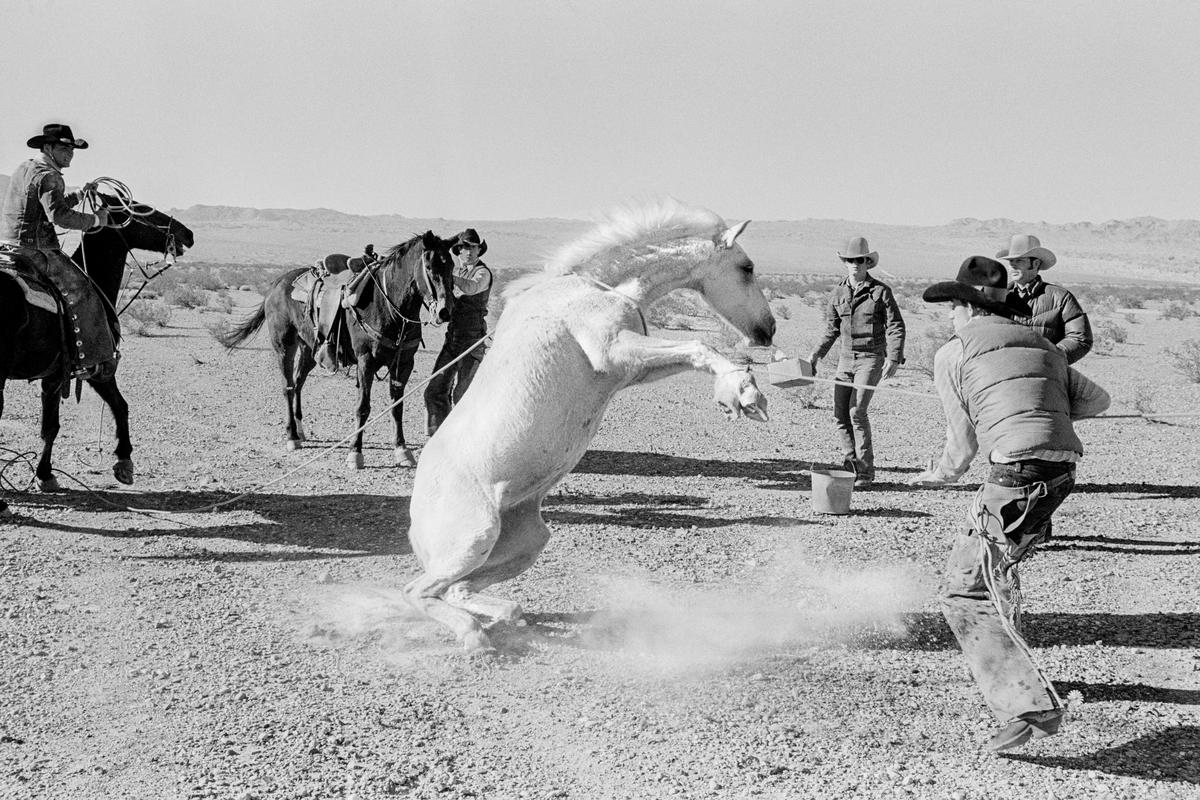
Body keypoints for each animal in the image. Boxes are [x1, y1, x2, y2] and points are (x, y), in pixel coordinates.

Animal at [0, 195, 194, 513]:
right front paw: (124, 462)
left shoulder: (53, 378)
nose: (187, 234)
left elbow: (49, 426)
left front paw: (44, 474)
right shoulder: (96, 367)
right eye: (142, 209)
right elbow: (119, 406)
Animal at [403, 199, 777, 652]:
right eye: (747, 267)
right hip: (474, 539)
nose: (768, 330)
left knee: (456, 590)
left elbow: (695, 351)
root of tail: (415, 521)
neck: (596, 289)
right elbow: (700, 346)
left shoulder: (630, 367)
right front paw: (743, 395)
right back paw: (474, 636)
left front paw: (739, 392)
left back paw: (507, 617)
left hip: (526, 541)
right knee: (418, 593)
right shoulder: (614, 351)